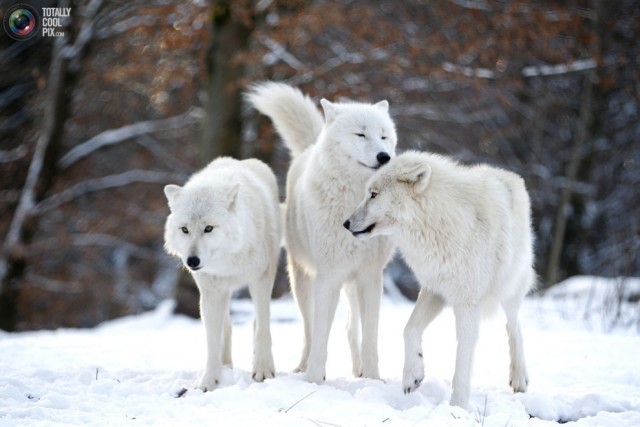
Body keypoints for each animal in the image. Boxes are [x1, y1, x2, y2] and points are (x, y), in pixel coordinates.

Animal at [164, 157, 278, 392]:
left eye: (208, 228)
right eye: (185, 229)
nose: (192, 261)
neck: (228, 261)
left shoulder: (261, 279)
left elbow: (263, 328)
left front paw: (263, 370)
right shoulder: (212, 292)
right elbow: (212, 342)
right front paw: (209, 381)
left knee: (256, 322)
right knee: (227, 325)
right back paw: (226, 366)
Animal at [344, 152, 536, 410]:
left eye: (373, 194)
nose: (345, 223)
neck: (437, 222)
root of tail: (510, 175)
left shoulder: (467, 304)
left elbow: (462, 361)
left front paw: (458, 407)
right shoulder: (434, 290)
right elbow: (409, 329)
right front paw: (412, 375)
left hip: (509, 287)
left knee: (514, 326)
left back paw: (519, 378)